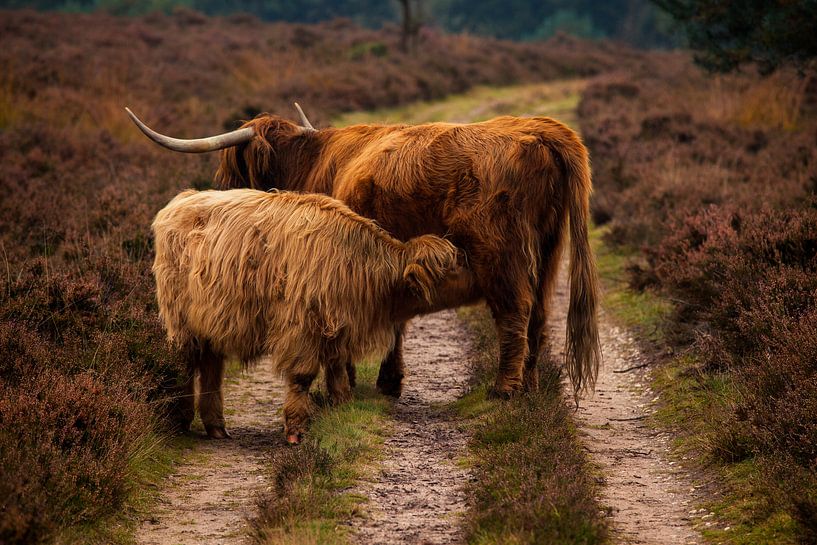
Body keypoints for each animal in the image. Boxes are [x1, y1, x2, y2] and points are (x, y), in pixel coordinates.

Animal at [128, 106, 601, 402]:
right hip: (549, 250)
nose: (222, 188)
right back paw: (530, 386)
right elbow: (396, 320)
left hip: (501, 253)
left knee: (514, 313)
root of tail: (541, 128)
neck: (314, 163)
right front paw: (389, 381)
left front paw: (350, 383)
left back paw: (505, 389)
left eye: (231, 163)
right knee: (539, 313)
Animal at [152, 188, 478, 443]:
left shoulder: (337, 329)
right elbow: (302, 376)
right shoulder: (302, 327)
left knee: (210, 367)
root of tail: (183, 199)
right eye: (452, 267)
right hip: (180, 322)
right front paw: (296, 429)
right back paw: (180, 420)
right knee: (184, 363)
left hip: (211, 321)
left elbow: (337, 374)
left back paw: (216, 426)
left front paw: (343, 409)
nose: (479, 277)